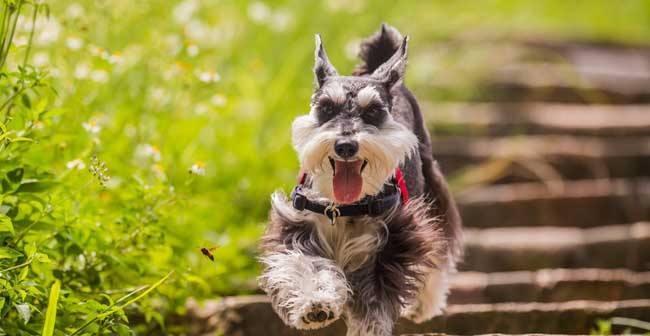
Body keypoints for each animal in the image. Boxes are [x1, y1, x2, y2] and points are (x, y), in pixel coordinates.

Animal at [258, 24, 460, 336]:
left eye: (373, 111)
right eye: (326, 108)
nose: (345, 146)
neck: (343, 206)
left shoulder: (391, 243)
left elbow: (374, 301)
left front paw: (369, 327)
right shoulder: (297, 227)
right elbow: (305, 265)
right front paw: (314, 304)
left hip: (433, 189)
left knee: (439, 248)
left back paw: (424, 304)